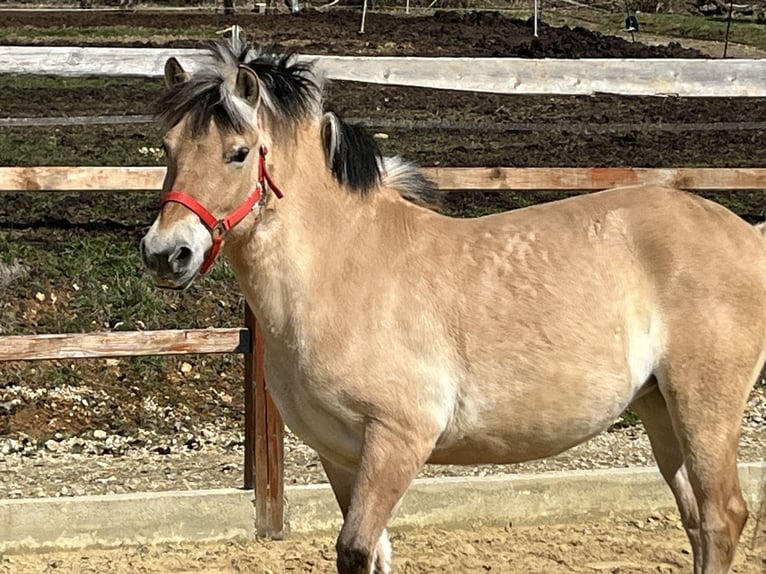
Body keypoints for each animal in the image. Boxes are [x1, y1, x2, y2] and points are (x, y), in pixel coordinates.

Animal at [140, 41, 766, 574]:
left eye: (238, 153)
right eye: (168, 149)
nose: (165, 253)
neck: (344, 268)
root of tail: (747, 234)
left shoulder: (397, 443)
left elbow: (355, 549)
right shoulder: (340, 456)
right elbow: (374, 554)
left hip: (703, 407)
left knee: (722, 516)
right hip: (660, 408)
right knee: (696, 519)